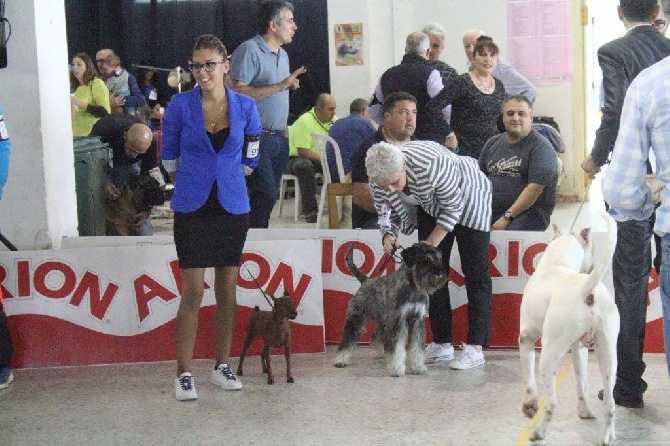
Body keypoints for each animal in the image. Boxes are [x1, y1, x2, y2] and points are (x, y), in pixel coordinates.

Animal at [336, 244, 452, 376]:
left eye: (438, 258)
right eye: (424, 258)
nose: (439, 273)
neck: (414, 288)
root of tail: (366, 281)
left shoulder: (417, 321)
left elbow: (416, 347)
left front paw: (417, 367)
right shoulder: (398, 321)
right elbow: (397, 347)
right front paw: (397, 368)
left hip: (384, 320)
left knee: (377, 338)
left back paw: (385, 354)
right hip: (357, 318)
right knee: (348, 340)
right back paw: (341, 360)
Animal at [524, 212, 624, 446]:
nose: (591, 266)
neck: (556, 264)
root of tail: (586, 290)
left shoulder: (526, 339)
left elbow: (529, 379)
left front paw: (529, 406)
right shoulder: (579, 349)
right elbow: (582, 383)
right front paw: (584, 412)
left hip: (549, 357)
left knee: (551, 402)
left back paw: (539, 433)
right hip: (608, 354)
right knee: (610, 401)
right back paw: (607, 436)